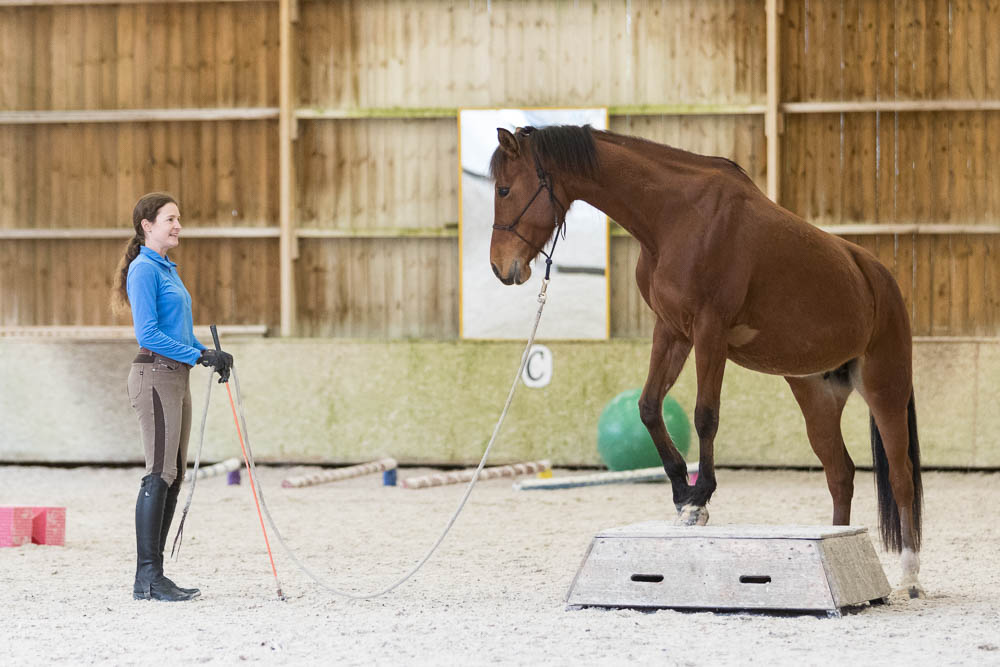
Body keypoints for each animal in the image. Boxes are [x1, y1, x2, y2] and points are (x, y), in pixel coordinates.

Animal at [487, 124, 924, 598]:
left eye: (505, 189)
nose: (500, 268)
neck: (676, 216)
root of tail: (878, 275)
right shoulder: (671, 332)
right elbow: (648, 406)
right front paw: (682, 491)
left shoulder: (709, 333)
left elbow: (705, 416)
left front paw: (700, 499)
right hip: (817, 396)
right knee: (840, 473)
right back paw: (840, 541)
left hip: (885, 389)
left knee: (900, 476)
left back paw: (910, 576)